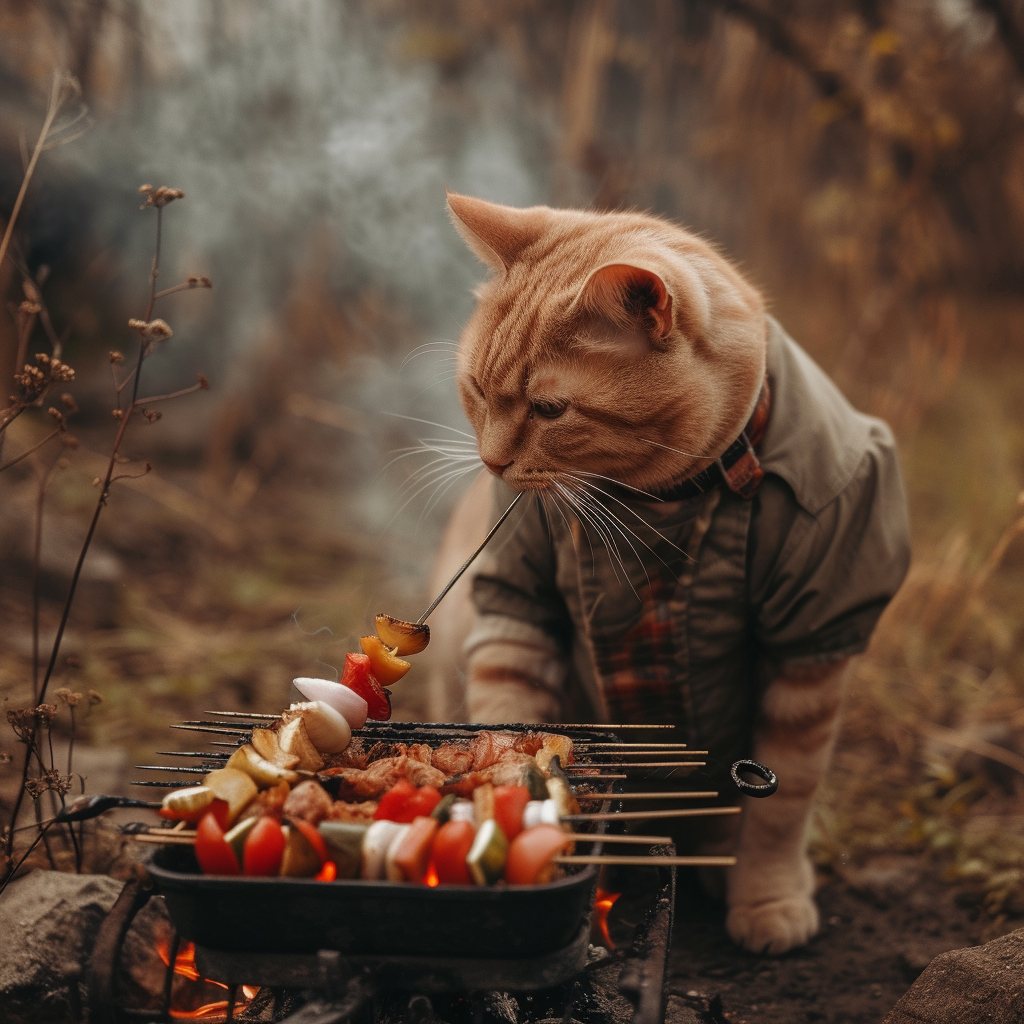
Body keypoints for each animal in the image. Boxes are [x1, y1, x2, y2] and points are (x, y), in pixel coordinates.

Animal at [434, 190, 913, 950]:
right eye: (478, 388)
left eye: (549, 410)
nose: (492, 462)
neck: (661, 503)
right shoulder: (516, 611)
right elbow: (510, 719)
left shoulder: (812, 650)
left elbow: (783, 806)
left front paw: (768, 897)